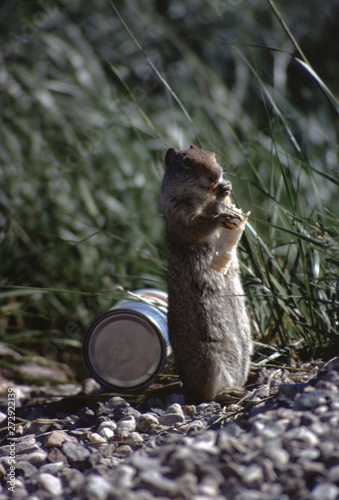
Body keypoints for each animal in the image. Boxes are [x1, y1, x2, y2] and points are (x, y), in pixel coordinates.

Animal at [160, 145, 252, 402]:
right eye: (187, 163)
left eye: (212, 155)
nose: (216, 174)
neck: (200, 197)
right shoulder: (177, 212)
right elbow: (195, 225)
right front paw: (219, 216)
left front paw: (224, 189)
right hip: (210, 361)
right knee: (205, 396)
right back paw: (227, 393)